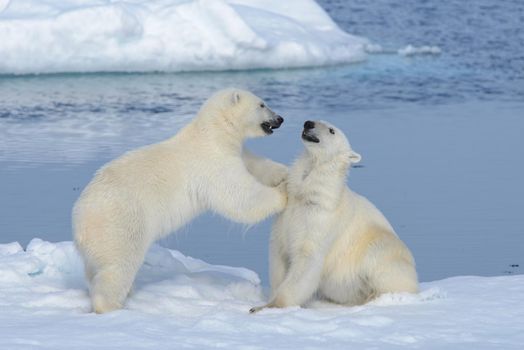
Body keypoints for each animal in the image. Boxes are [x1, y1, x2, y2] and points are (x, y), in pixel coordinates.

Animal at [72, 89, 288, 314]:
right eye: (262, 105)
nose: (280, 118)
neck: (213, 133)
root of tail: (80, 220)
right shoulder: (212, 162)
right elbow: (238, 194)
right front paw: (282, 193)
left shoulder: (234, 152)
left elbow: (256, 165)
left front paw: (285, 173)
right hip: (120, 225)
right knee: (117, 266)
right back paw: (111, 305)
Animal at [250, 120, 418, 312]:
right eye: (315, 121)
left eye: (331, 130)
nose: (308, 123)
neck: (307, 195)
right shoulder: (285, 216)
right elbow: (279, 255)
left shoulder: (321, 221)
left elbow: (307, 260)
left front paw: (267, 306)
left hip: (383, 249)